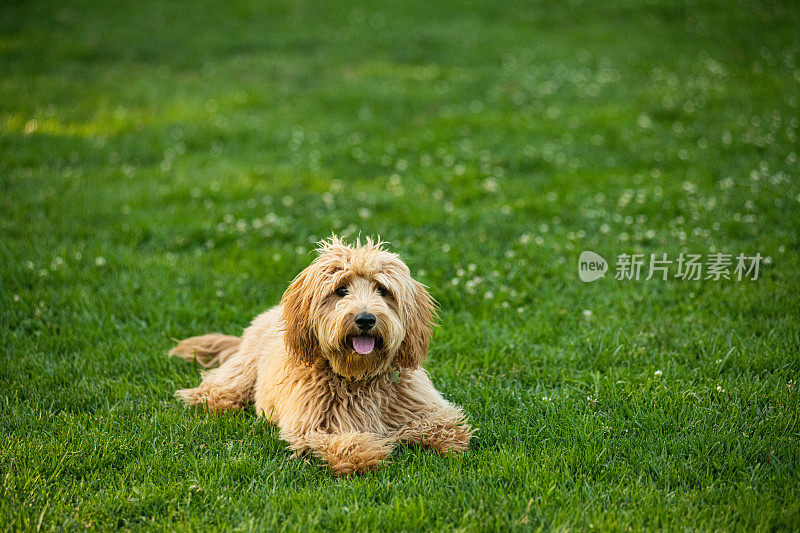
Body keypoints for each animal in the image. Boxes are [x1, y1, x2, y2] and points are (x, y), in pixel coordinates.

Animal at [167, 235, 468, 472]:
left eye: (382, 290)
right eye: (341, 290)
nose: (365, 319)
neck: (358, 375)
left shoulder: (421, 406)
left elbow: (445, 424)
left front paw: (445, 442)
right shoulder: (313, 424)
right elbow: (342, 440)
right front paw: (363, 455)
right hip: (241, 373)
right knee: (215, 389)